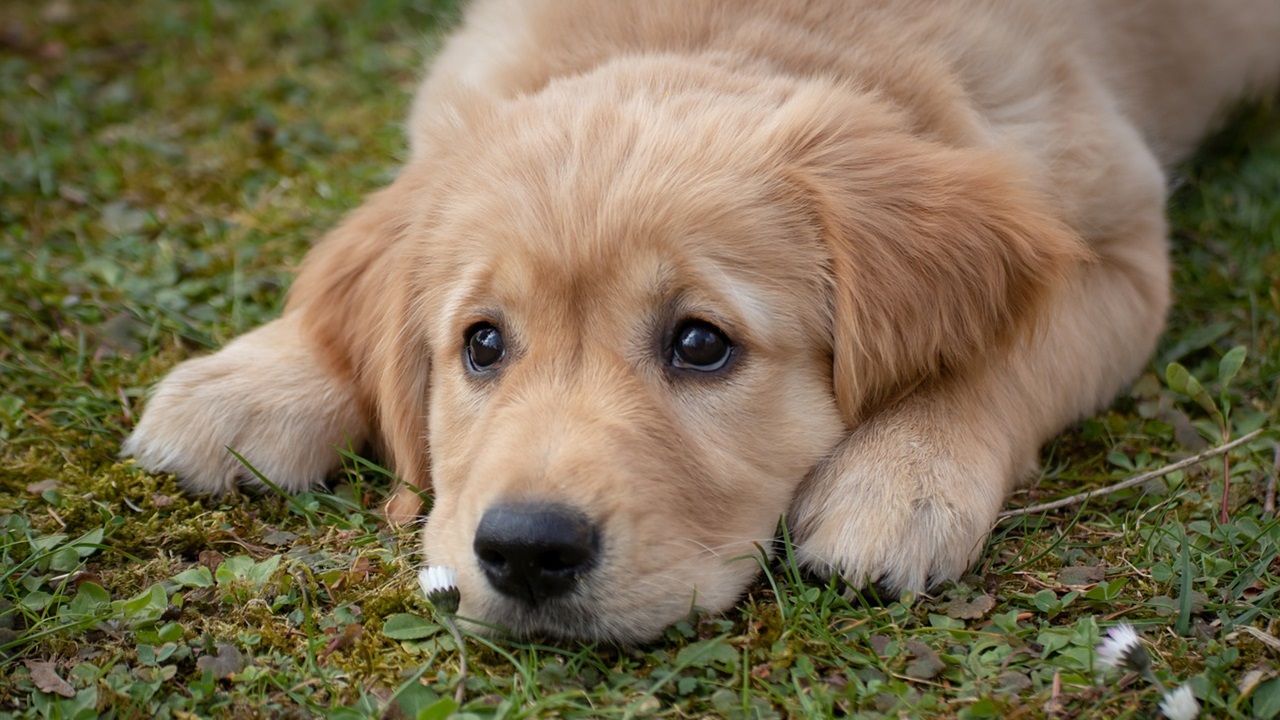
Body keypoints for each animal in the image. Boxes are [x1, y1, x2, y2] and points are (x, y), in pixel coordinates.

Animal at [120, 0, 1280, 638]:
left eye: (700, 344)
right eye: (480, 343)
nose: (526, 552)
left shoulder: (1116, 242)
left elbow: (1004, 354)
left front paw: (900, 475)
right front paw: (256, 379)